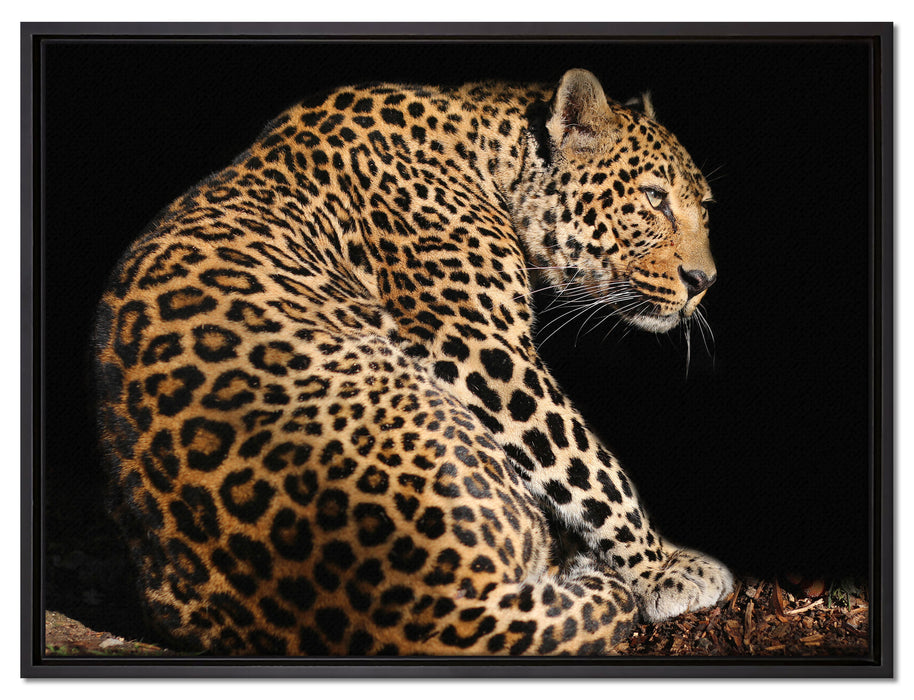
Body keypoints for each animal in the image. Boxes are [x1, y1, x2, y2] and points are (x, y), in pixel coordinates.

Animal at [92, 68, 732, 656]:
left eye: (703, 207)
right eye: (653, 198)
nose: (704, 282)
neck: (490, 153)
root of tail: (419, 610)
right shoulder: (479, 345)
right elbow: (584, 461)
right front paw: (663, 569)